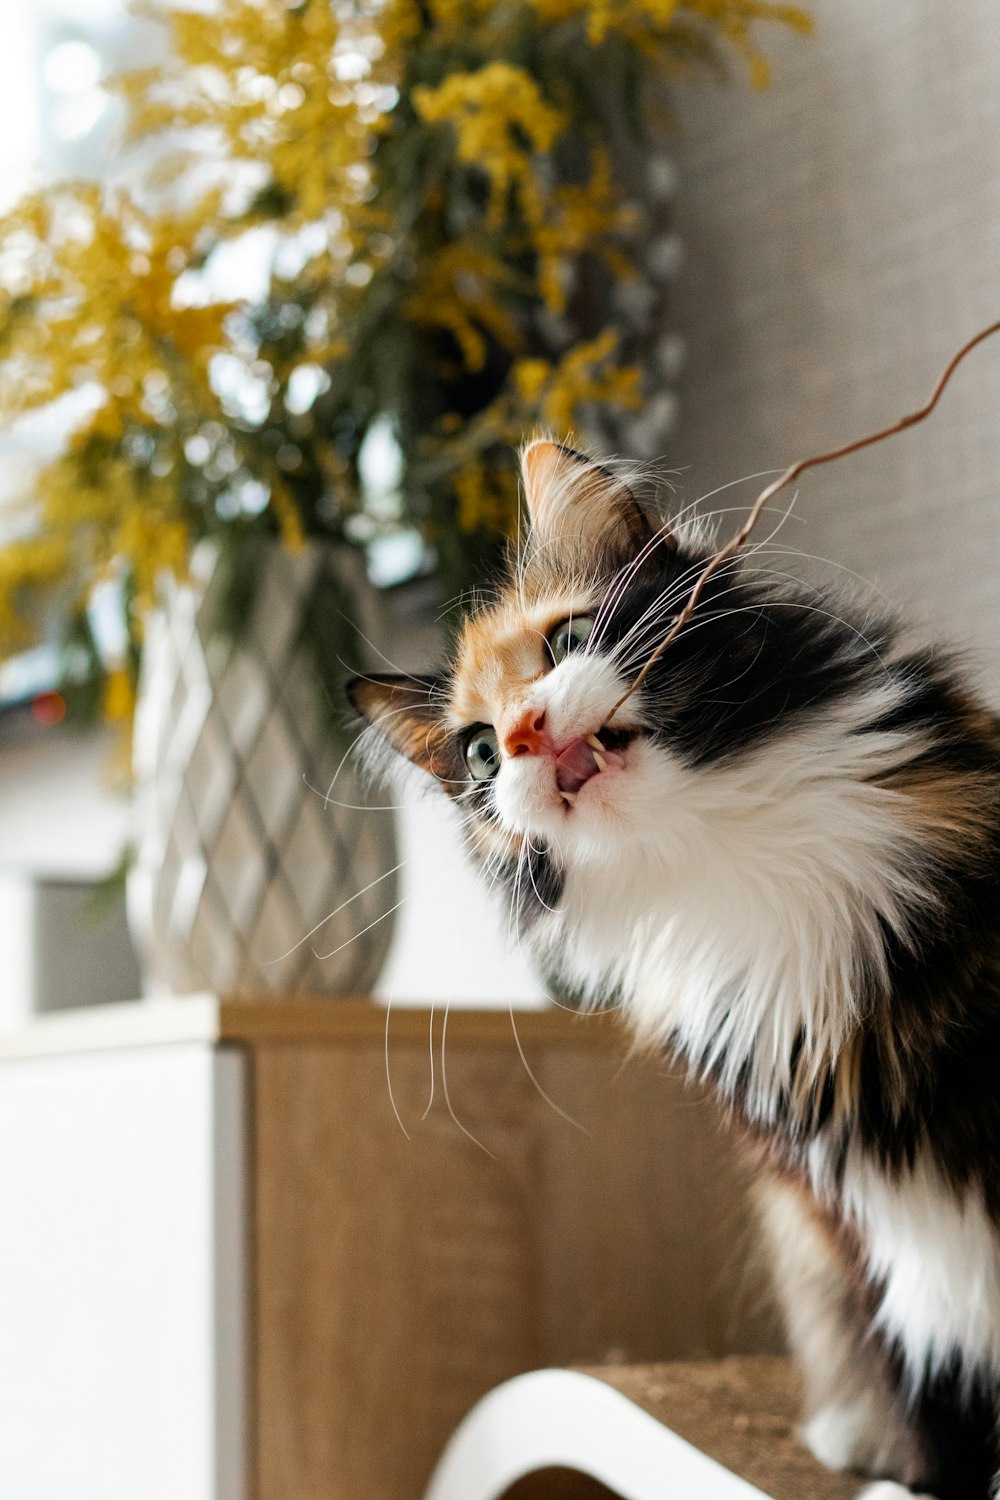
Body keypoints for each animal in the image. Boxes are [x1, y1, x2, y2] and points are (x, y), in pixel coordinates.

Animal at [347, 438, 1000, 1494]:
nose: (522, 734)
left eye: (570, 641)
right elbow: (934, 1377)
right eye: (480, 754)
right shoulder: (852, 1206)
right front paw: (936, 1480)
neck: (732, 849)